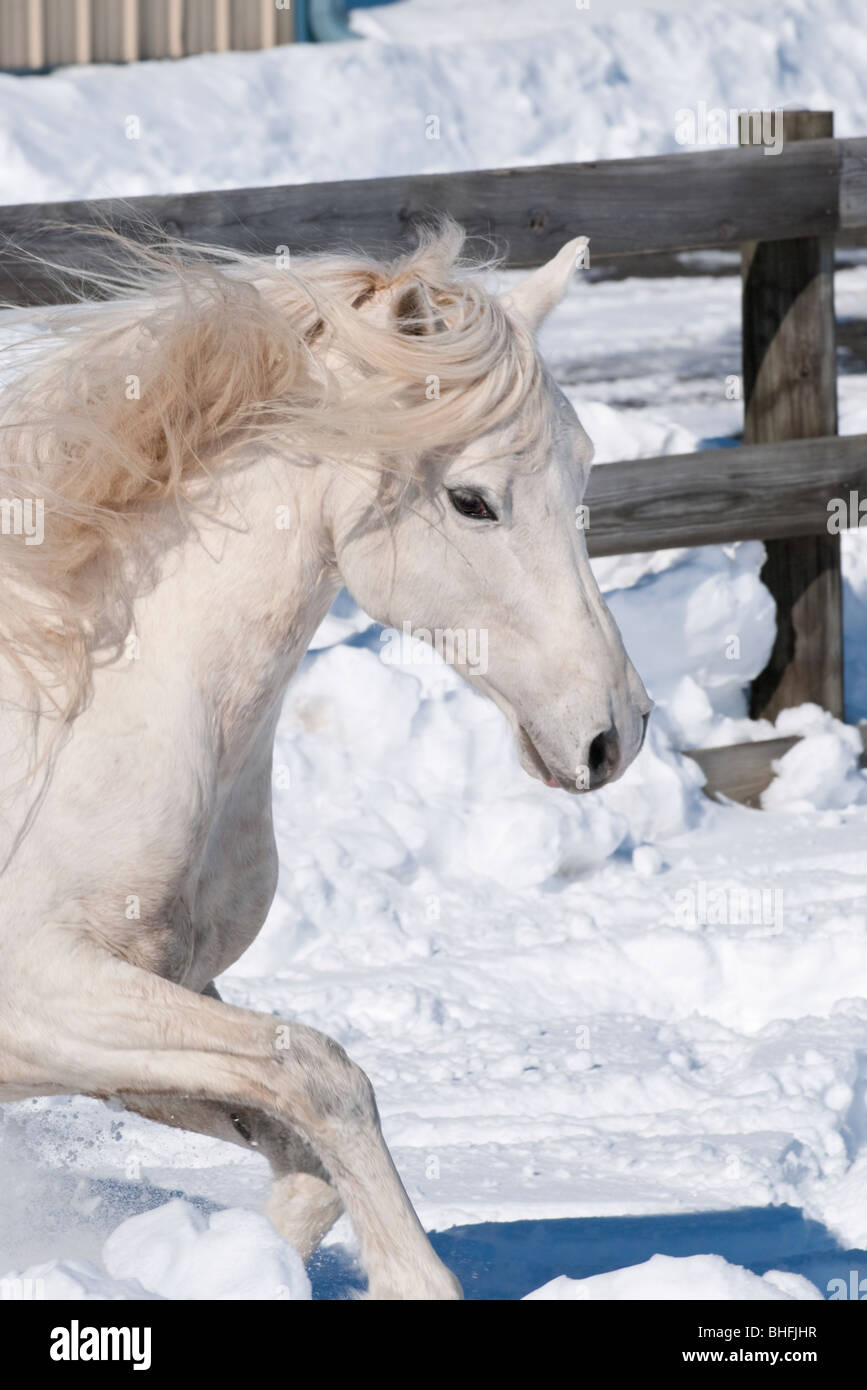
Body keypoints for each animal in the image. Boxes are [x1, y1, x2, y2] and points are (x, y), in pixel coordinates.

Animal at [0, 222, 650, 1295]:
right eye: (472, 502)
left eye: (587, 469)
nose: (614, 732)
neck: (86, 710)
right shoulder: (40, 995)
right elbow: (322, 1074)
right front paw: (415, 1278)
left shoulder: (151, 1005)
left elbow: (302, 1159)